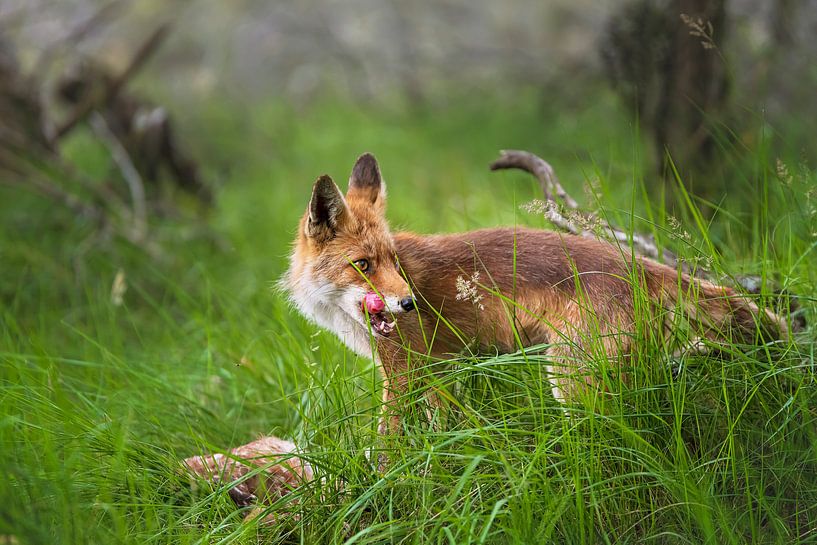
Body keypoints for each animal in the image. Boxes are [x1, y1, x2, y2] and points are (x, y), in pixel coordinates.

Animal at [283, 152, 788, 432]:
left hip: (571, 381)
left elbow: (386, 447)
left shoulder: (405, 372)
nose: (409, 303)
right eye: (363, 265)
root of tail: (639, 264)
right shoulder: (437, 369)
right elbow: (443, 427)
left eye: (393, 261)